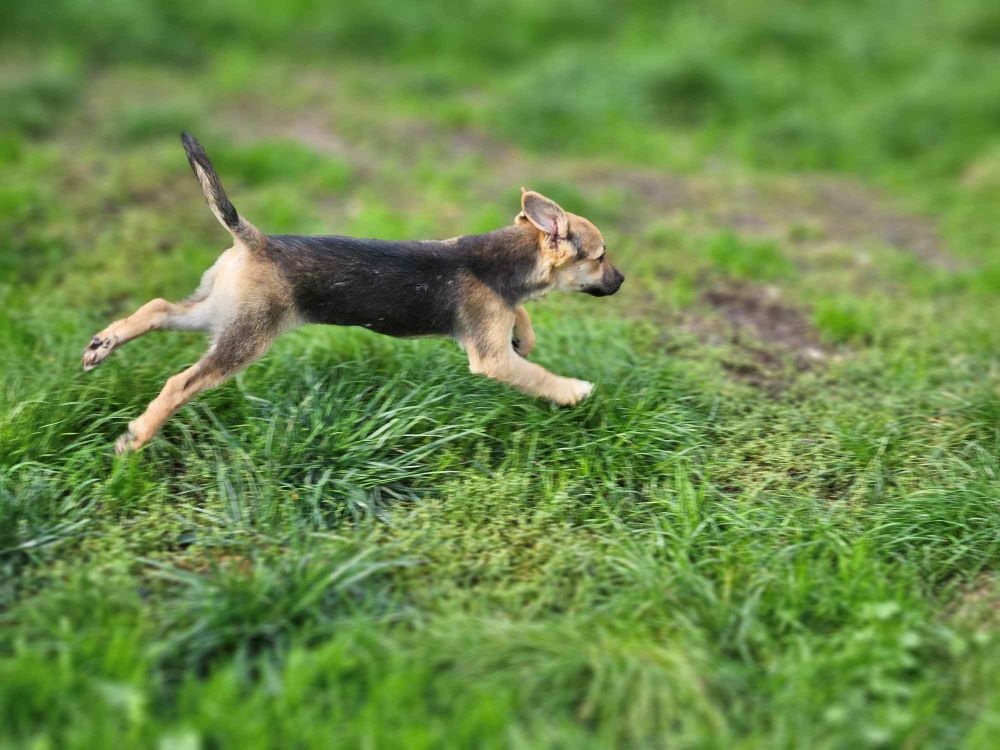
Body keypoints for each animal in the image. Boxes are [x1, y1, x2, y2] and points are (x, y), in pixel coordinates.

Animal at [82, 132, 620, 456]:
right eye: (600, 256)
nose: (621, 281)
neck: (506, 261)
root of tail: (254, 240)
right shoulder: (490, 359)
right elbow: (535, 373)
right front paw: (572, 390)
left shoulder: (496, 324)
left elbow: (519, 323)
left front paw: (524, 335)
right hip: (245, 336)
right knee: (179, 383)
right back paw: (136, 438)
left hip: (219, 310)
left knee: (158, 308)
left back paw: (102, 345)